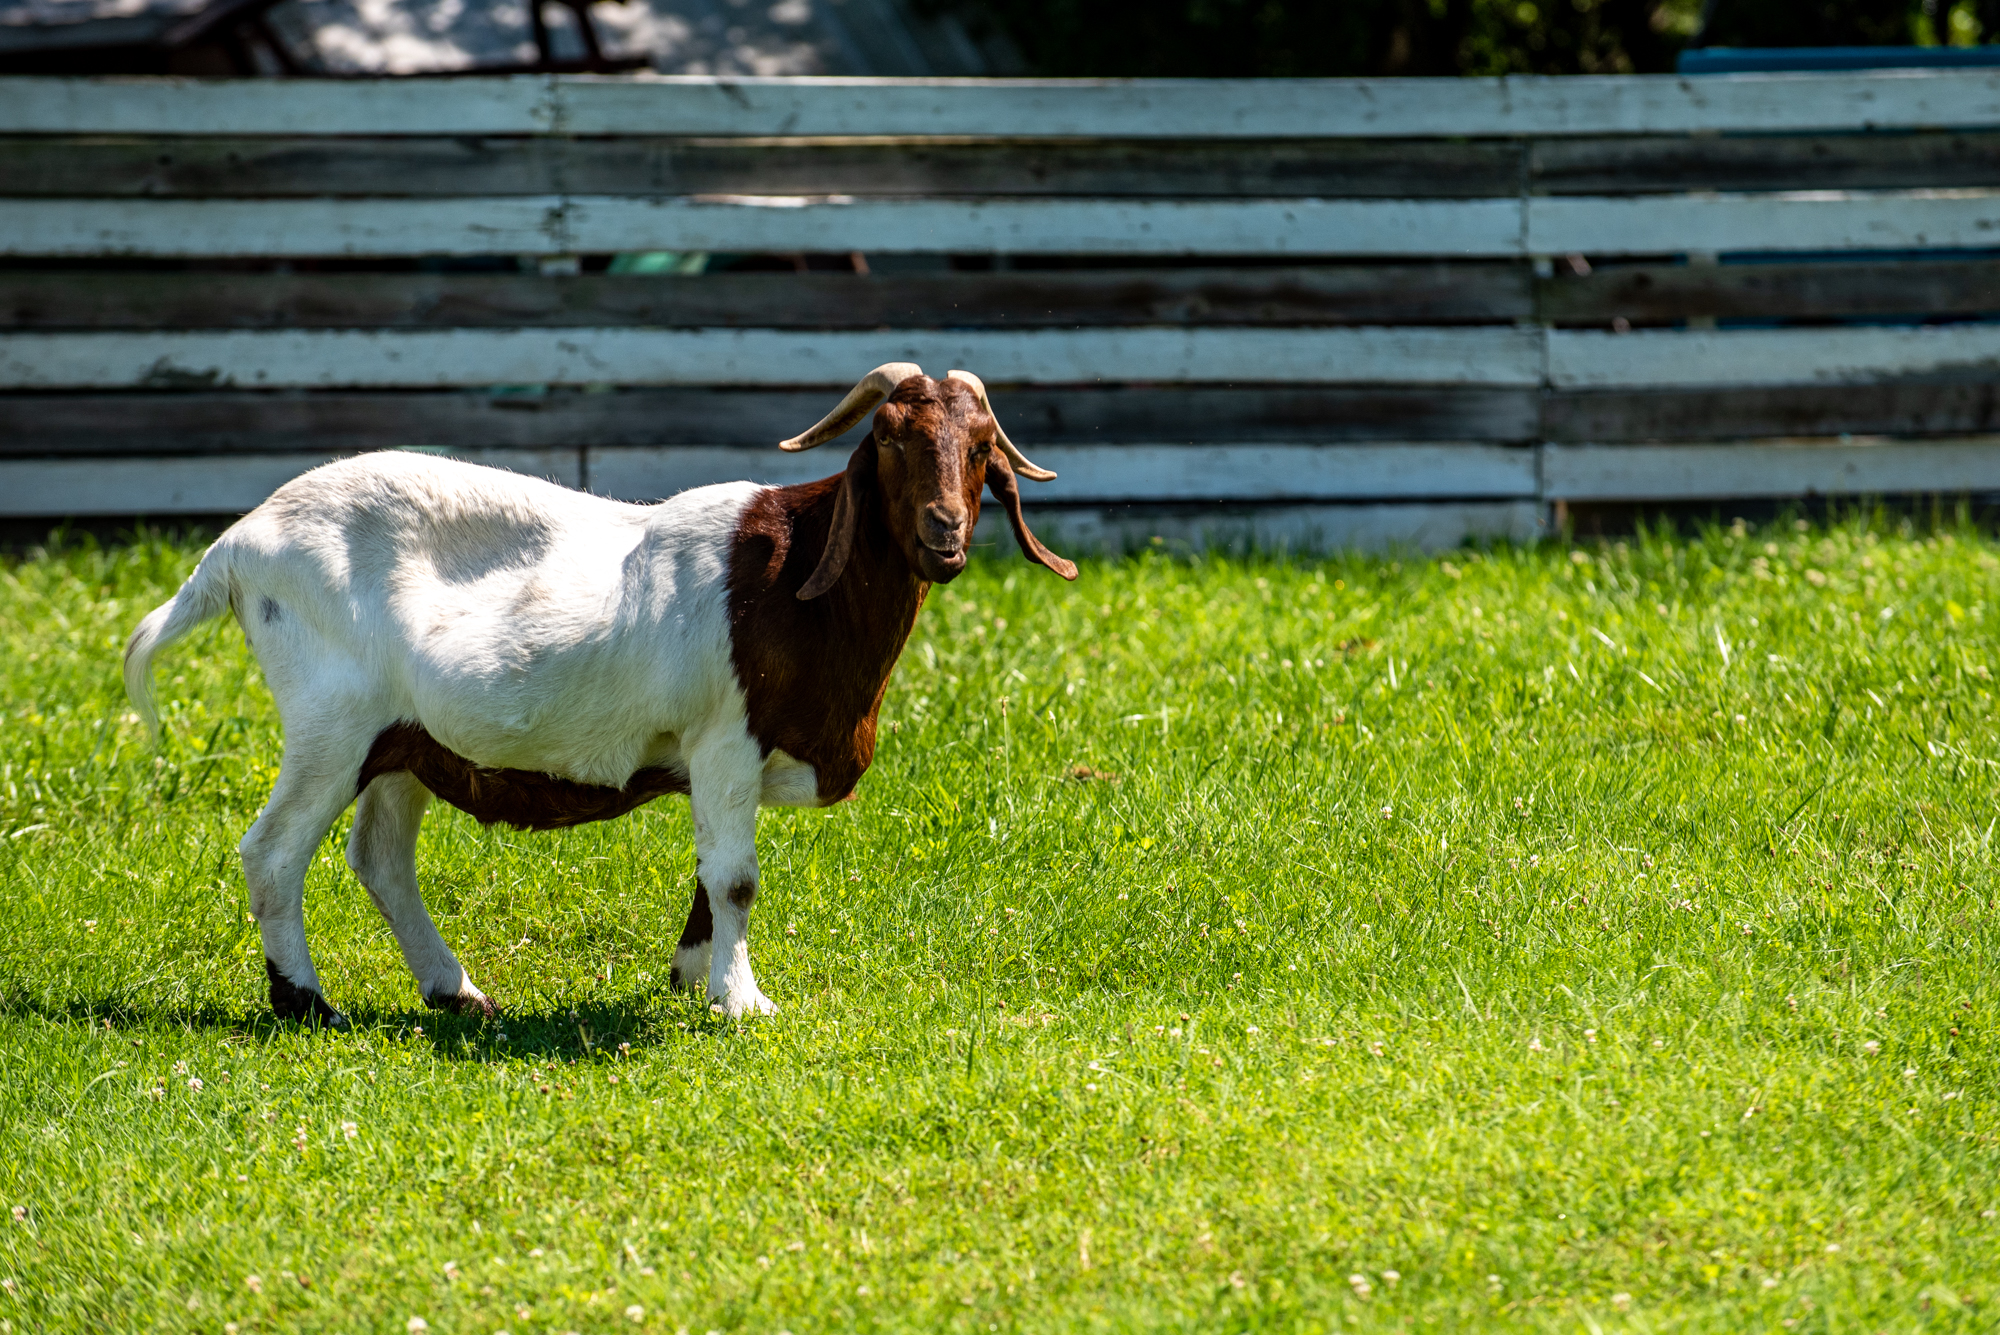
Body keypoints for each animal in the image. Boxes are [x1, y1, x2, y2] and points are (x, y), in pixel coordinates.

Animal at [121, 365, 1080, 1023]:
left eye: (981, 447)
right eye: (886, 437)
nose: (943, 534)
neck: (797, 574)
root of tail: (238, 544)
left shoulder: (718, 760)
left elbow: (711, 871)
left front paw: (695, 977)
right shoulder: (725, 737)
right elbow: (736, 877)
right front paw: (743, 1003)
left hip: (404, 740)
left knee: (380, 855)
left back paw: (456, 989)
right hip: (332, 721)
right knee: (274, 850)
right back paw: (307, 1002)